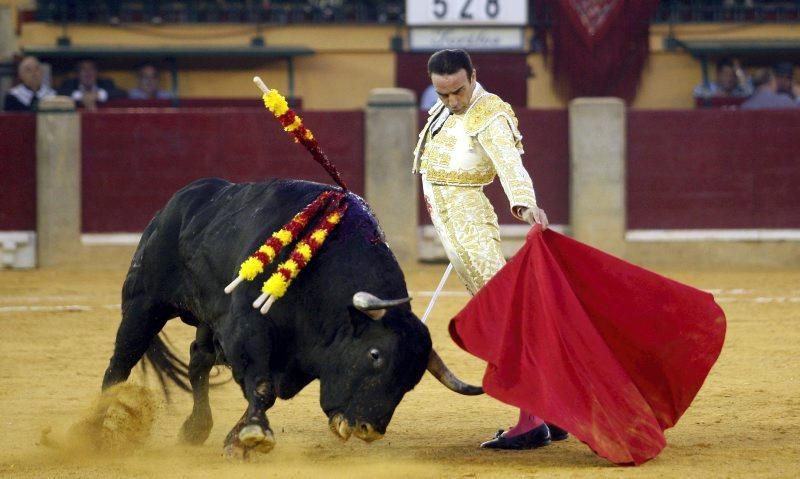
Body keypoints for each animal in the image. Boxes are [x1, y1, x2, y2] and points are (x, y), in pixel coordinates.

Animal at [104, 177, 484, 458]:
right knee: (120, 363)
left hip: (206, 321)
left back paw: (195, 429)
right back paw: (100, 427)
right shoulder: (247, 329)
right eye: (374, 355)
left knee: (197, 361)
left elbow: (262, 387)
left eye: (411, 381)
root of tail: (175, 203)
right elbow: (262, 386)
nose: (369, 429)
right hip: (144, 303)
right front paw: (254, 433)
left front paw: (236, 440)